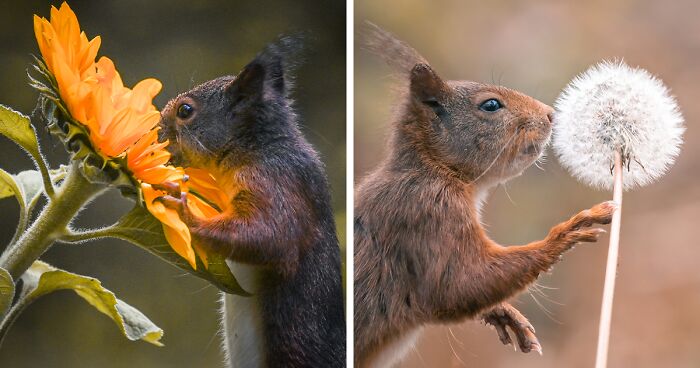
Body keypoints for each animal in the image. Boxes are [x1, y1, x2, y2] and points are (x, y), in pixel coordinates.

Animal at [157, 36, 346, 368]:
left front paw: (185, 212)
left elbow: (272, 235)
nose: (158, 128)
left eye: (185, 110)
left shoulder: (277, 181)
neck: (256, 145)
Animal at [352, 24, 616, 366]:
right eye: (490, 105)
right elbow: (459, 285)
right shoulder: (425, 213)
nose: (550, 115)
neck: (434, 168)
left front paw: (502, 312)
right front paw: (568, 231)